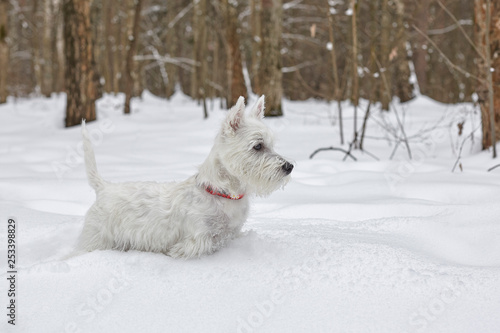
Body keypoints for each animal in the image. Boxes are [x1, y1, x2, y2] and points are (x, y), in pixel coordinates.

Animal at [74, 94, 292, 258]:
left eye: (272, 144)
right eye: (258, 146)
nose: (289, 166)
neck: (223, 192)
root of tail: (103, 187)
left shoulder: (231, 233)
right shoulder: (197, 239)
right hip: (95, 238)